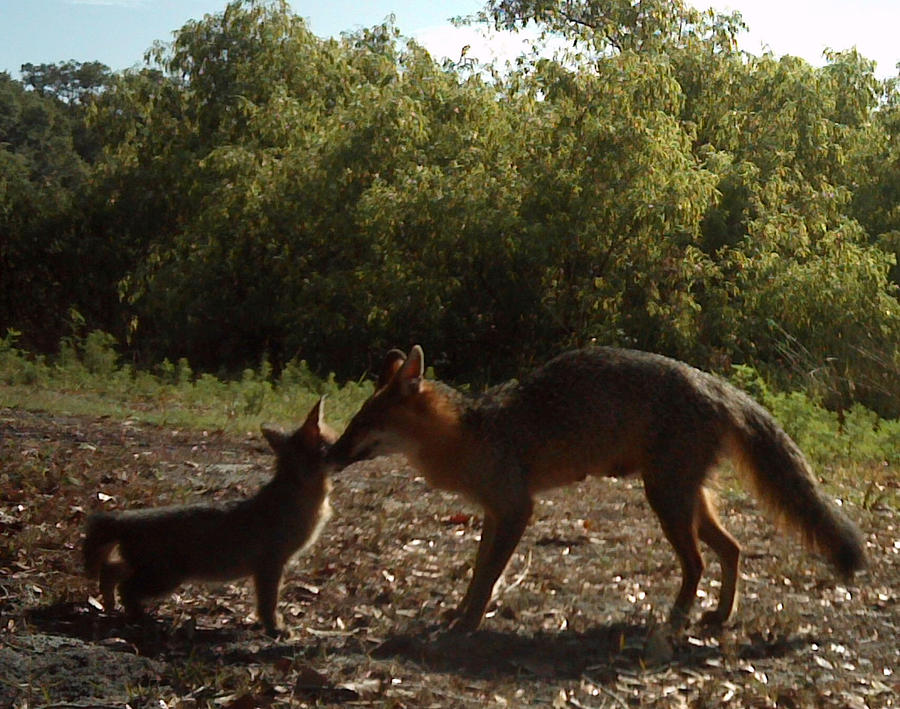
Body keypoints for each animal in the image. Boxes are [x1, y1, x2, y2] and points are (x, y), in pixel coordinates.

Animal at [82, 398, 336, 636]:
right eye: (334, 440)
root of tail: (124, 517)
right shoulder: (271, 565)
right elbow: (268, 603)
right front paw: (275, 628)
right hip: (165, 578)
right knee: (125, 587)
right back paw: (139, 619)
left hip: (147, 570)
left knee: (109, 572)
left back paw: (111, 606)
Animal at [328, 344, 864, 632]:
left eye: (363, 424)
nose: (330, 453)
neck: (469, 431)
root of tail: (711, 381)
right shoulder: (493, 513)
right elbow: (480, 570)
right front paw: (460, 612)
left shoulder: (517, 509)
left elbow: (488, 575)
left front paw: (468, 622)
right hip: (684, 500)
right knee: (732, 549)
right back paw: (717, 615)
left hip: (665, 501)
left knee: (698, 562)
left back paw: (676, 616)